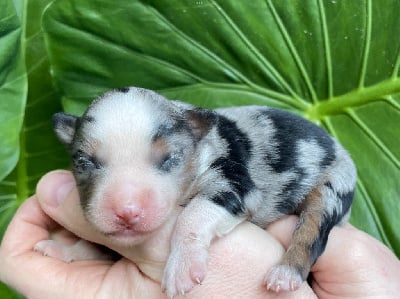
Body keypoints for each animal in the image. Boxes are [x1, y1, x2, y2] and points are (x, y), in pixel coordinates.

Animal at [36, 86, 358, 298]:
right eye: (83, 162)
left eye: (169, 158)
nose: (127, 212)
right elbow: (96, 243)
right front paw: (64, 250)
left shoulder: (235, 183)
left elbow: (193, 215)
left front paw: (181, 269)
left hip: (335, 184)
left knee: (312, 232)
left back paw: (284, 274)